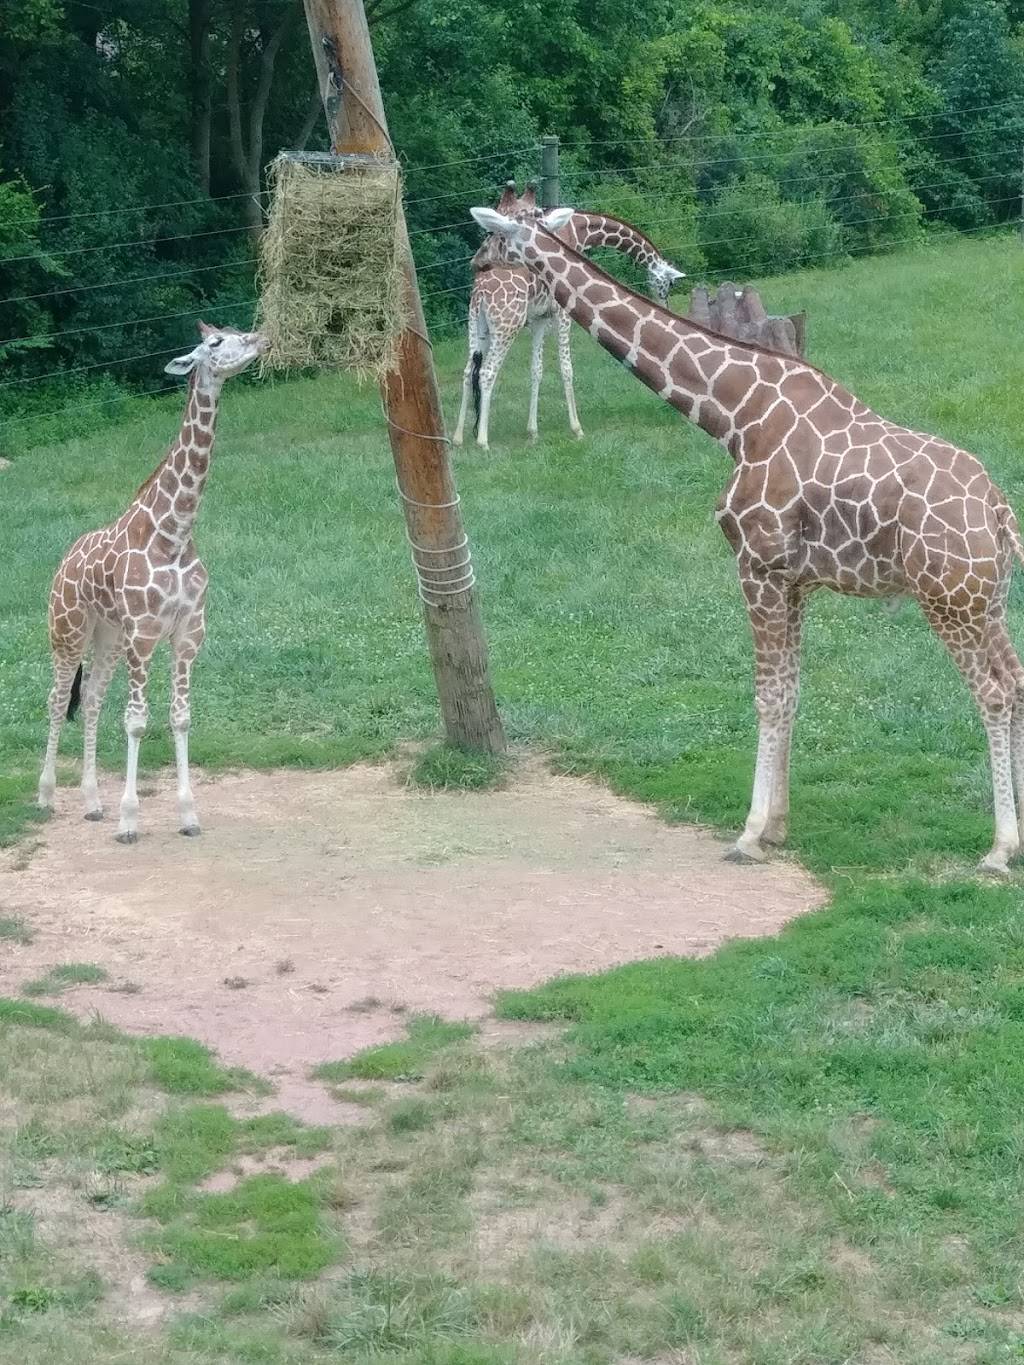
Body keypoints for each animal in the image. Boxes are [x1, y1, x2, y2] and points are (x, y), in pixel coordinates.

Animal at [39, 324, 268, 846]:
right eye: (215, 343)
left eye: (234, 331)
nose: (261, 339)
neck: (174, 532)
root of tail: (62, 563)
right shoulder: (143, 635)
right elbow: (137, 722)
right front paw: (129, 821)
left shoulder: (187, 633)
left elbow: (179, 717)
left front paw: (187, 815)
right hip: (67, 631)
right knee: (58, 700)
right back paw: (46, 797)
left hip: (106, 636)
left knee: (93, 700)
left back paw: (92, 803)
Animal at [453, 182, 685, 453]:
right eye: (668, 284)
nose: (665, 306)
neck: (580, 230)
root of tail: (481, 293)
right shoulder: (563, 311)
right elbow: (566, 368)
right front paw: (577, 429)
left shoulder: (540, 317)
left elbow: (536, 370)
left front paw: (533, 432)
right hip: (507, 324)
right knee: (487, 372)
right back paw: (482, 441)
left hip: (477, 324)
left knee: (468, 371)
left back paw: (458, 437)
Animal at [472, 207, 1024, 879]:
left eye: (498, 236)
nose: (477, 270)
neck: (733, 414)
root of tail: (999, 511)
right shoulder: (794, 579)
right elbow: (790, 689)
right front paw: (779, 827)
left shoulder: (755, 564)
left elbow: (765, 694)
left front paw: (750, 832)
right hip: (986, 600)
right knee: (1016, 683)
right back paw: (1018, 835)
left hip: (947, 600)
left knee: (992, 693)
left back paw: (999, 849)